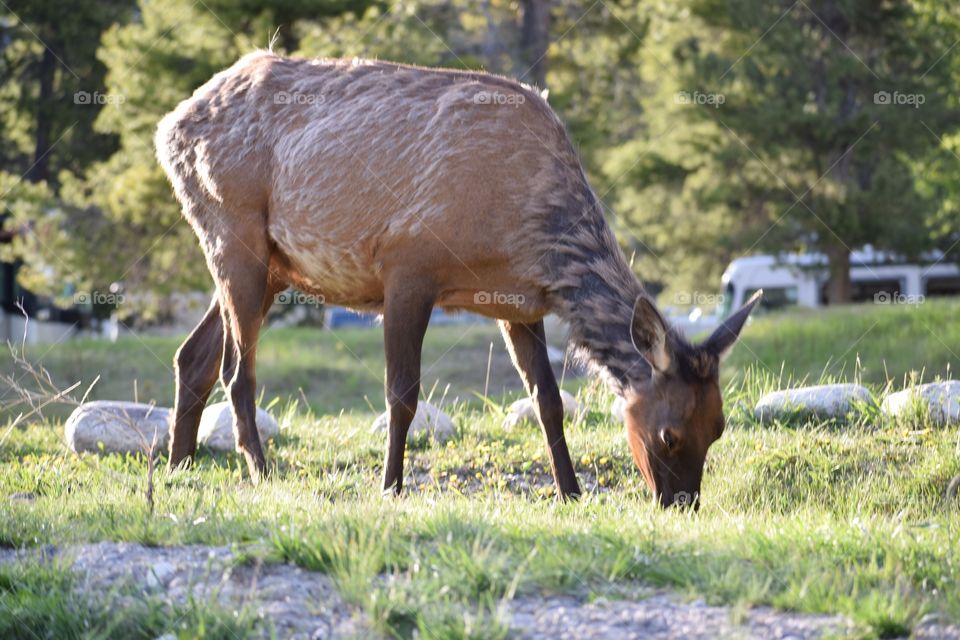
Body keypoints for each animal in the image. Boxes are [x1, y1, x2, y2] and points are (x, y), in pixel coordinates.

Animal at [156, 50, 756, 510]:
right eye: (669, 434)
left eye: (719, 427)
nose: (681, 503)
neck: (529, 233)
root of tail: (170, 126)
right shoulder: (407, 266)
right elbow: (401, 394)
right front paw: (391, 487)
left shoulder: (520, 304)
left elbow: (548, 401)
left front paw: (570, 491)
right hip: (233, 229)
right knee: (237, 369)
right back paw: (259, 470)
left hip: (273, 267)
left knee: (193, 354)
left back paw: (179, 467)